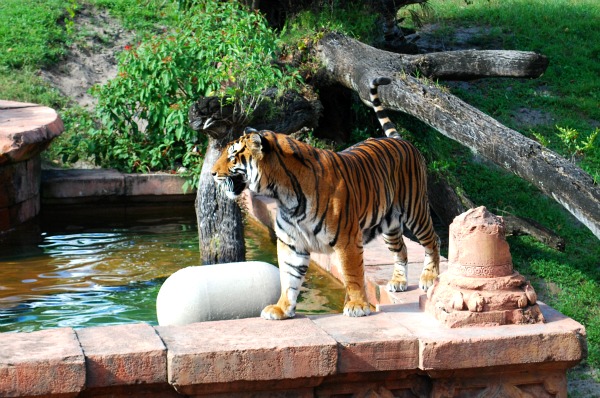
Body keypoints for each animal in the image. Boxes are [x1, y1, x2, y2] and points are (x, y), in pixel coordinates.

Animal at [212, 77, 440, 320]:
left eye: (232, 157)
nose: (212, 173)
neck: (284, 195)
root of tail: (401, 141)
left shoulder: (348, 240)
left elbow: (353, 274)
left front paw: (357, 305)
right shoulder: (291, 242)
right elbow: (289, 277)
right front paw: (282, 308)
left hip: (415, 211)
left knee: (433, 241)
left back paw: (429, 278)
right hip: (390, 224)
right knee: (402, 250)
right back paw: (399, 282)